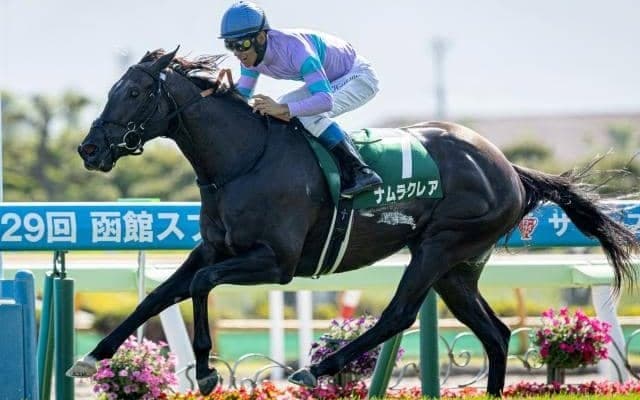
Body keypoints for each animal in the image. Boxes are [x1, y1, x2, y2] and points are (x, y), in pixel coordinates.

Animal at [70, 47, 639, 397]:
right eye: (113, 89)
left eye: (135, 93)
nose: (89, 148)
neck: (243, 160)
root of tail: (510, 169)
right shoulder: (214, 249)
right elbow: (158, 295)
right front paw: (93, 357)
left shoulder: (274, 263)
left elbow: (201, 286)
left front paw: (207, 371)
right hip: (457, 268)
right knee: (495, 334)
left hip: (439, 246)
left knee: (398, 315)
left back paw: (314, 368)